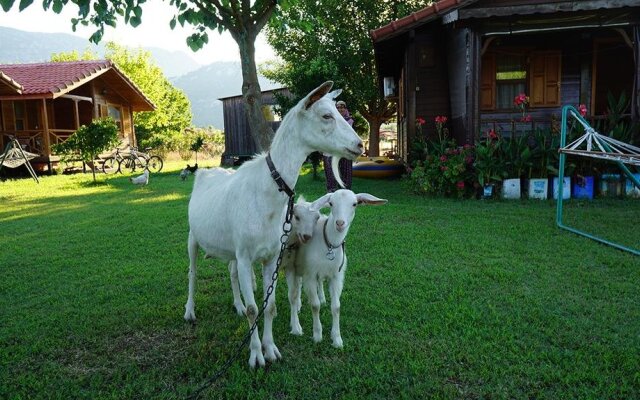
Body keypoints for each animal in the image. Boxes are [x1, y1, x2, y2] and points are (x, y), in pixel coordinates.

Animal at [185, 83, 364, 368]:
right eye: (326, 115)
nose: (359, 144)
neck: (266, 191)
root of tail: (205, 172)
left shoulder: (269, 256)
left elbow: (268, 307)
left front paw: (271, 350)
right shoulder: (246, 256)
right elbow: (253, 309)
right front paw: (256, 356)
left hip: (230, 247)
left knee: (231, 273)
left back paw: (236, 305)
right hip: (192, 236)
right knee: (192, 272)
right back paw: (190, 312)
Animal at [284, 189, 384, 348]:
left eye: (355, 204)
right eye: (331, 203)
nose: (340, 223)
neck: (329, 243)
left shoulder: (337, 276)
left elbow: (336, 307)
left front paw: (337, 339)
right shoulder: (309, 274)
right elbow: (315, 305)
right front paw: (317, 335)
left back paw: (321, 298)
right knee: (297, 287)